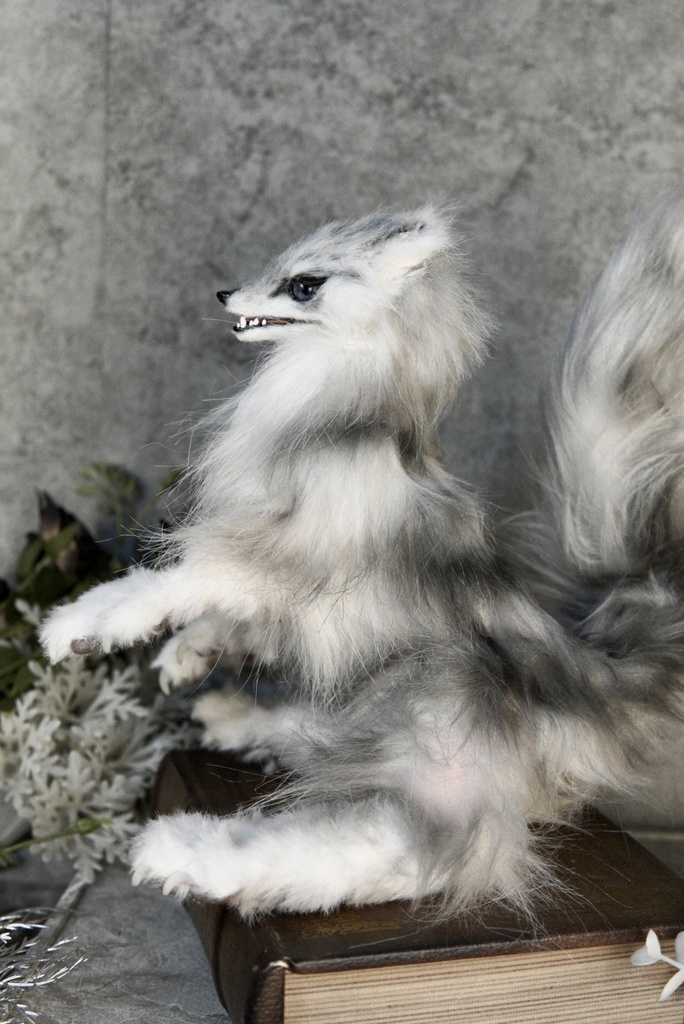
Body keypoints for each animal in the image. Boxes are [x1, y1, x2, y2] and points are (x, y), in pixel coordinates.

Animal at [40, 199, 684, 918]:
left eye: (303, 286)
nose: (224, 295)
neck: (334, 412)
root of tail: (592, 678)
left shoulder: (282, 561)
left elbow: (173, 584)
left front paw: (80, 627)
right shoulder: (291, 591)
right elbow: (224, 616)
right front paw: (189, 655)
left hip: (434, 748)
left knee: (392, 852)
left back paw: (184, 854)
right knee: (313, 735)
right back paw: (231, 718)